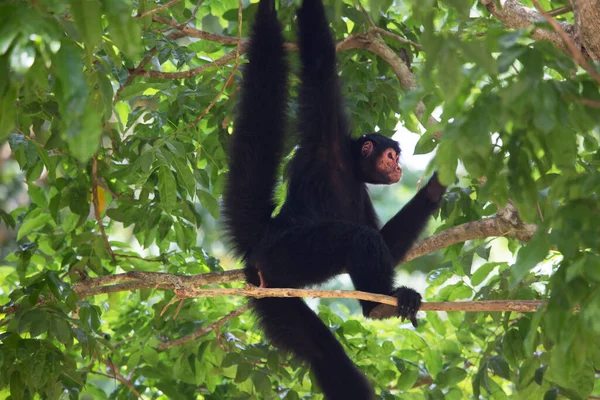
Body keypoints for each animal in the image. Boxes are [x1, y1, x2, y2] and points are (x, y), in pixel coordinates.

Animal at [223, 0, 448, 396]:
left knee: (321, 351)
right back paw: (376, 307)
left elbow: (387, 244)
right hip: (289, 253)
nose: (398, 168)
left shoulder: (362, 191)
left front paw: (437, 185)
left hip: (272, 290)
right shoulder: (325, 130)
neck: (347, 166)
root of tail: (263, 239)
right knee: (354, 239)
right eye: (391, 156)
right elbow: (317, 62)